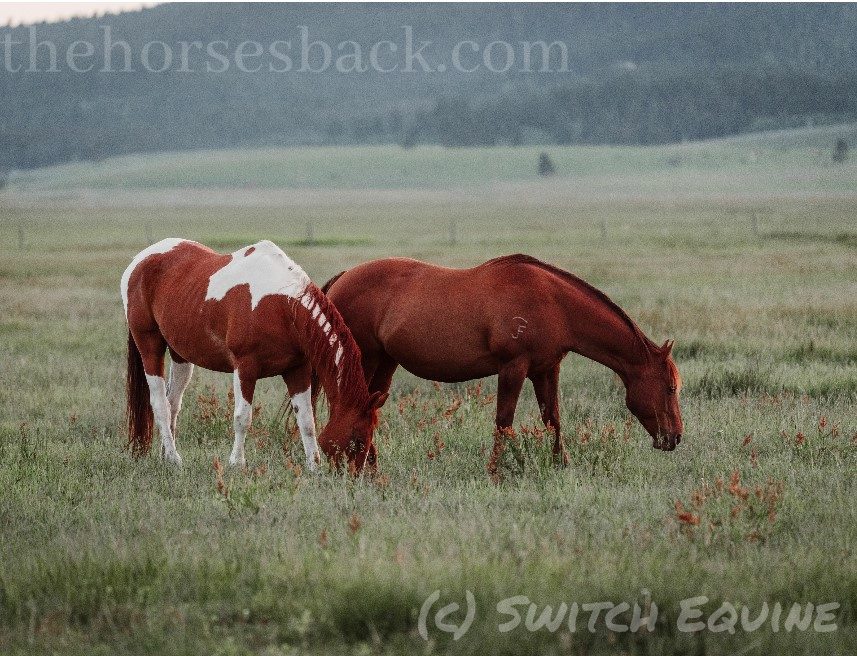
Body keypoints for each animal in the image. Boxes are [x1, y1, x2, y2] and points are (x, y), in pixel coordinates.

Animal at [121, 238, 387, 473]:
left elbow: (306, 421)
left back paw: (167, 455)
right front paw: (237, 463)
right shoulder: (245, 368)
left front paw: (313, 467)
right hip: (149, 345)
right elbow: (242, 418)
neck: (282, 306)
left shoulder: (297, 370)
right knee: (160, 404)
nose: (355, 475)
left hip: (180, 355)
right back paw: (174, 459)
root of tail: (138, 261)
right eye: (358, 439)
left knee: (172, 403)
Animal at [318, 254, 683, 476]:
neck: (554, 303)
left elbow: (552, 419)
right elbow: (504, 422)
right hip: (365, 361)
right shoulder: (513, 367)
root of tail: (342, 279)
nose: (675, 437)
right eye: (670, 388)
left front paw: (561, 465)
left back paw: (371, 467)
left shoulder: (545, 369)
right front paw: (495, 472)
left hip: (385, 364)